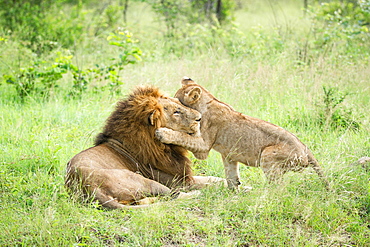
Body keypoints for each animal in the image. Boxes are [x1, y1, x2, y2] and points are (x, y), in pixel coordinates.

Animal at [66, 85, 223, 208]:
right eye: (176, 112)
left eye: (180, 103)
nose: (200, 118)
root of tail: (89, 187)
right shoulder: (179, 182)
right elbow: (205, 182)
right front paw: (218, 185)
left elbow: (210, 178)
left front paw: (221, 180)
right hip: (146, 181)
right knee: (174, 195)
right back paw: (197, 194)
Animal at [156, 78, 330, 190]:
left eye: (177, 102)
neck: (207, 102)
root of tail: (307, 150)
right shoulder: (228, 155)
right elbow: (231, 176)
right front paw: (232, 193)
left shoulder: (203, 146)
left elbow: (183, 137)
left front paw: (163, 133)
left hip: (268, 154)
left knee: (280, 189)